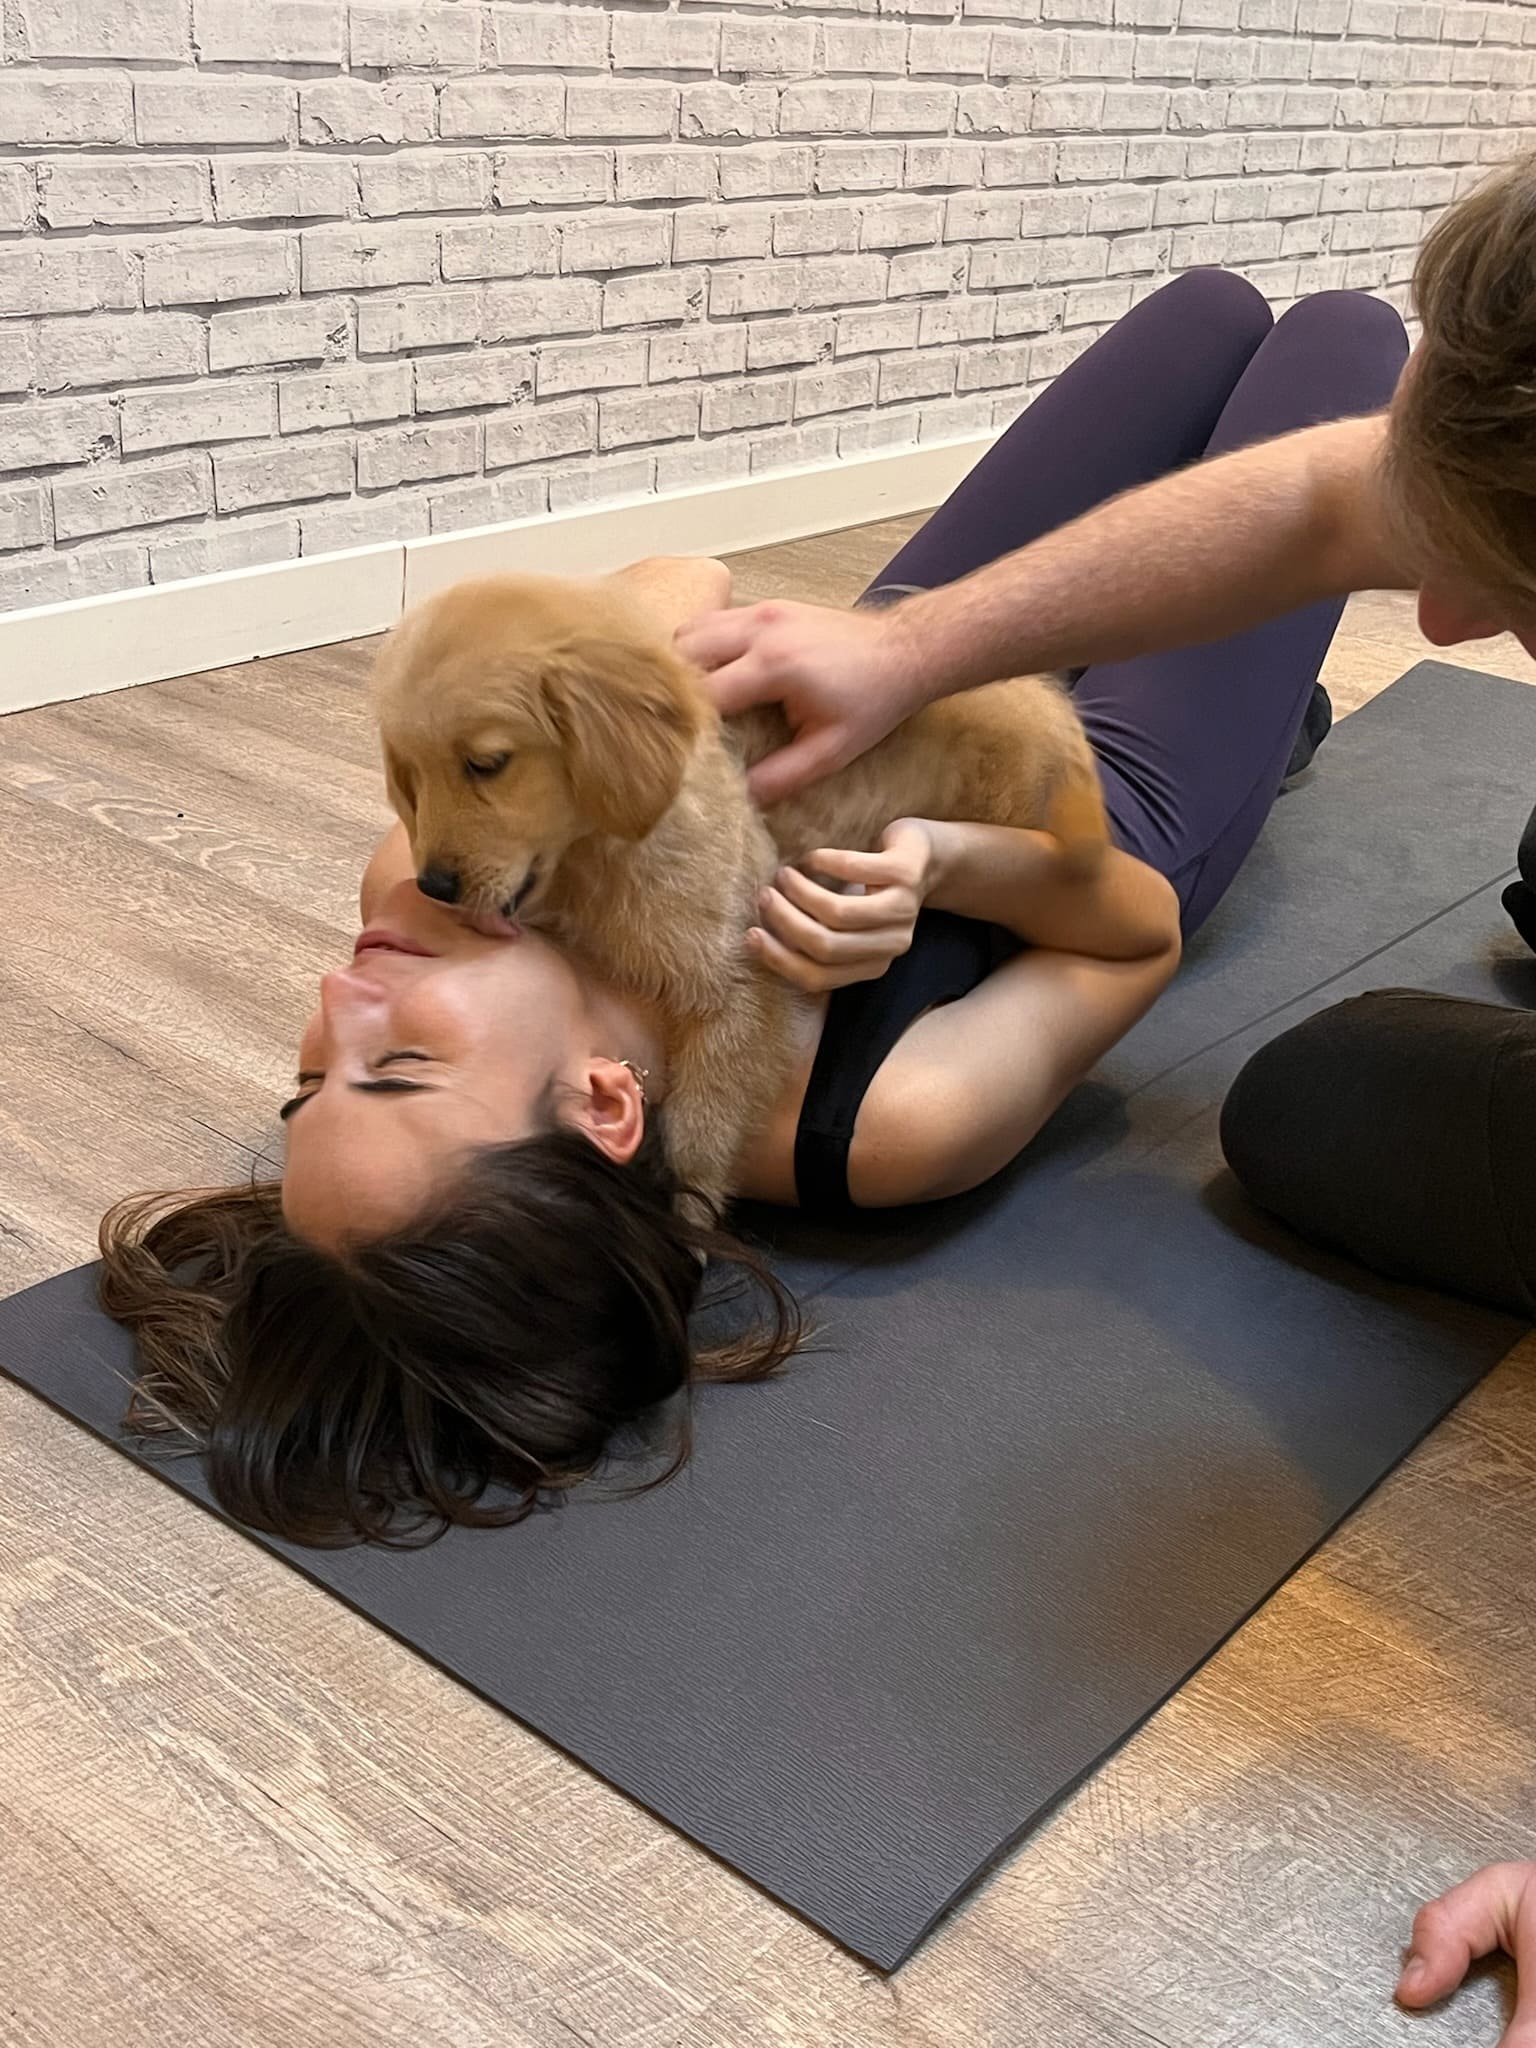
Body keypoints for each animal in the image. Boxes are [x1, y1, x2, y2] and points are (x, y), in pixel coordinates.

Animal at [372, 573, 1105, 1212]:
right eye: (409, 775)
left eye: (487, 764)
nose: (434, 886)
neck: (594, 859)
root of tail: (1050, 703)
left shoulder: (740, 983)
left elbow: (699, 1134)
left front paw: (691, 1220)